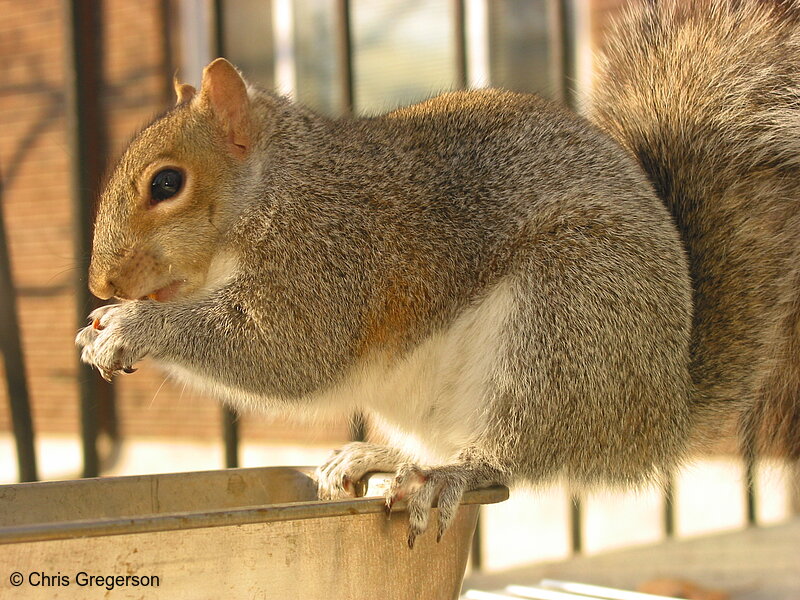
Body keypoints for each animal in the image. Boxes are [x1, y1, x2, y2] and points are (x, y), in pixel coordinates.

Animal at [76, 0, 800, 548]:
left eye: (167, 183)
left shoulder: (331, 257)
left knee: (512, 455)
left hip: (563, 323)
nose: (101, 285)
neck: (276, 187)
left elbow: (285, 353)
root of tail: (661, 416)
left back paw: (452, 476)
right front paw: (104, 324)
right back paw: (379, 457)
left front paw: (132, 327)